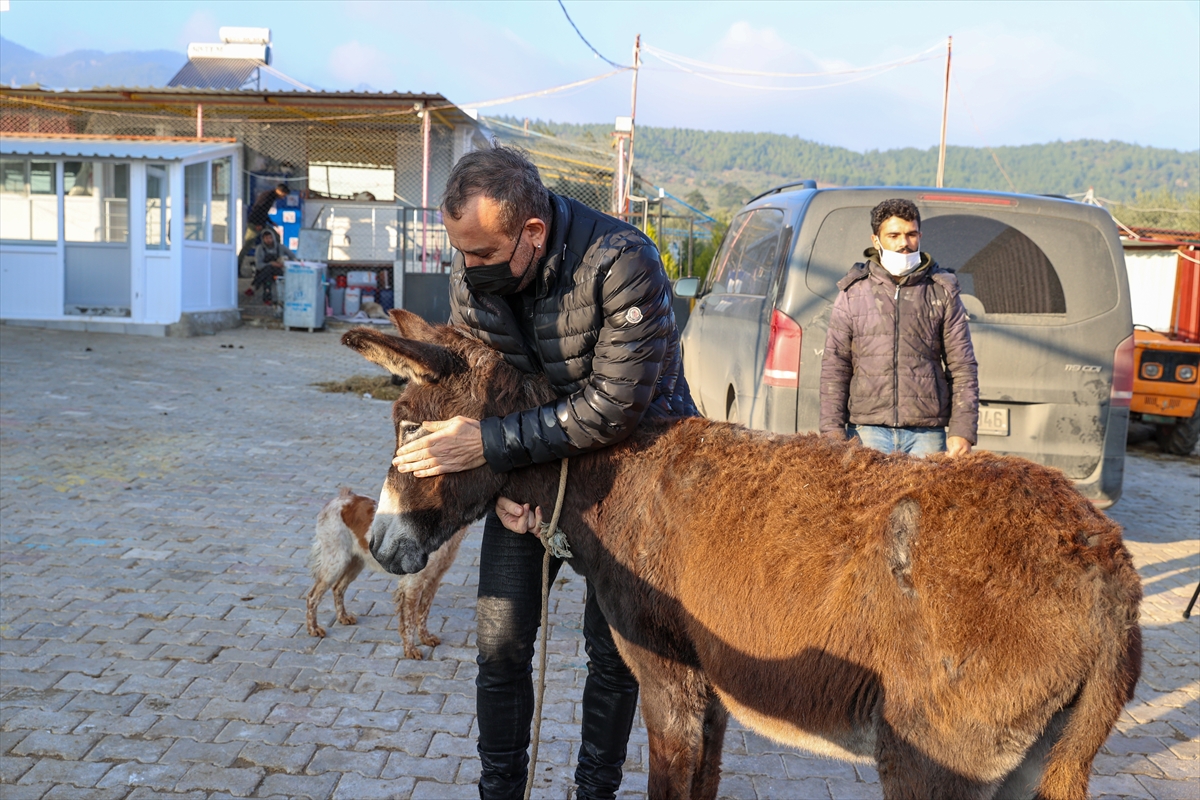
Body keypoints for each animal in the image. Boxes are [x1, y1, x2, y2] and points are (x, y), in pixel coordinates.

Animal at [304, 484, 463, 662]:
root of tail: (341, 497)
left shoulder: (434, 579)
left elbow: (423, 613)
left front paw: (425, 638)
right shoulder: (413, 582)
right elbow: (409, 621)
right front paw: (410, 649)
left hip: (355, 562)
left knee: (338, 588)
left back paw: (343, 617)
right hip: (335, 562)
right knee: (312, 596)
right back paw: (313, 629)